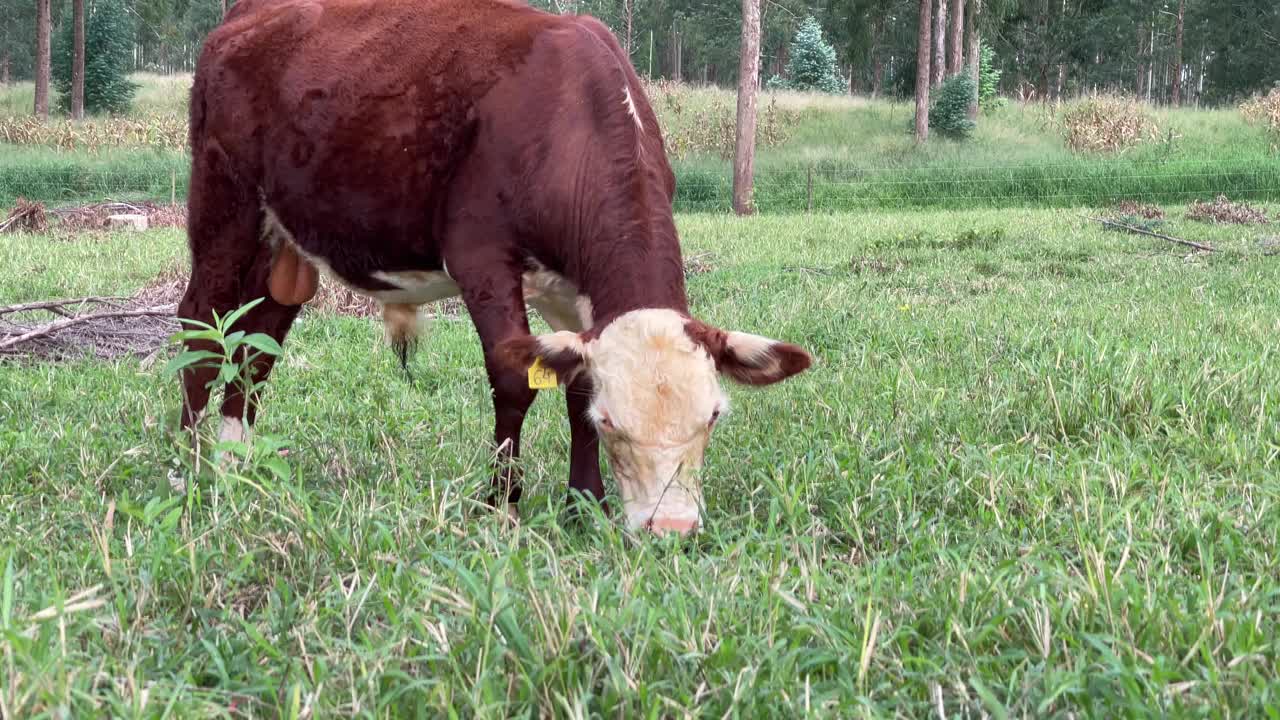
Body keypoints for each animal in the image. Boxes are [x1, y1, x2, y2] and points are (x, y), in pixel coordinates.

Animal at [176, 0, 814, 532]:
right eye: (613, 422)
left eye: (713, 416)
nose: (671, 529)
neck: (570, 116)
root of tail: (249, 13)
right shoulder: (480, 258)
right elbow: (514, 378)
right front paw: (500, 505)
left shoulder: (571, 289)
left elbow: (574, 382)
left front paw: (585, 506)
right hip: (223, 200)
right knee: (201, 326)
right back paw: (188, 465)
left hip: (285, 239)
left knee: (258, 343)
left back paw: (236, 462)